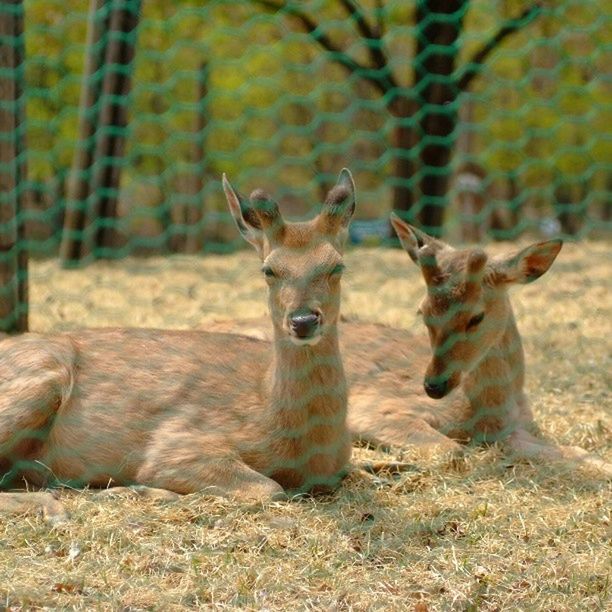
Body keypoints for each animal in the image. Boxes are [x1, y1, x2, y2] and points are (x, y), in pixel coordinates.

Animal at [0, 170, 358, 524]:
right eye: (268, 269)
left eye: (337, 266)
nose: (303, 320)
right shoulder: (178, 443)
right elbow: (270, 488)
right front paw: (138, 489)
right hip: (37, 380)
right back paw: (60, 507)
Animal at [212, 216, 612, 478]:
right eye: (423, 310)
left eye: (476, 316)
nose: (433, 385)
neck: (489, 412)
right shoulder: (377, 408)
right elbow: (451, 451)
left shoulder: (519, 430)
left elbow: (583, 454)